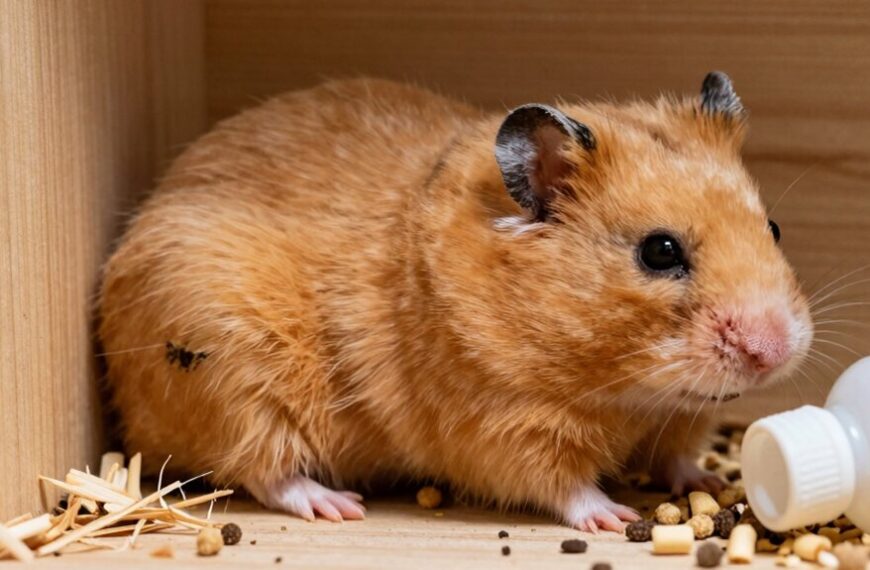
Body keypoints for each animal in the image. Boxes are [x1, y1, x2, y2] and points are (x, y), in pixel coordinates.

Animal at [98, 72, 813, 531]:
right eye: (659, 252)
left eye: (775, 228)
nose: (773, 351)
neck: (625, 391)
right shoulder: (503, 426)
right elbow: (564, 487)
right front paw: (617, 516)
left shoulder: (675, 420)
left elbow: (677, 455)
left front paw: (710, 481)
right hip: (232, 374)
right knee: (264, 469)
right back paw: (339, 505)